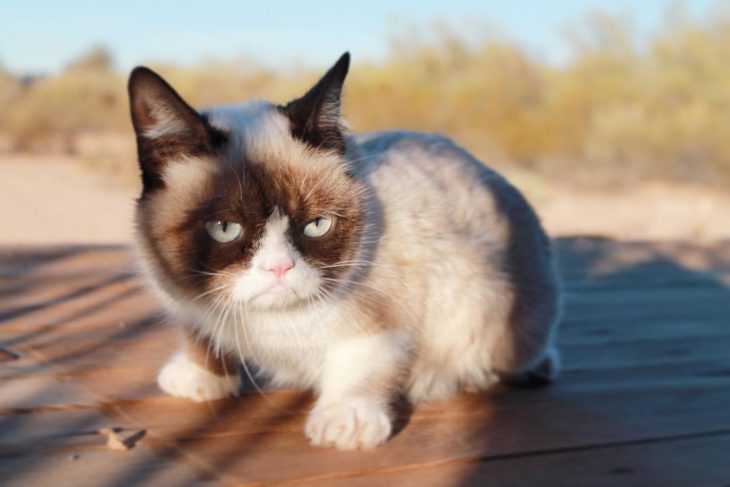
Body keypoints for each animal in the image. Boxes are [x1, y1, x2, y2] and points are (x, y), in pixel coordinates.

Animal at [128, 52, 560, 450]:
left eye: (317, 225)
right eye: (225, 229)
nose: (279, 268)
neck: (270, 330)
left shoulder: (382, 322)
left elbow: (360, 365)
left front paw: (345, 423)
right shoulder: (189, 302)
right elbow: (200, 335)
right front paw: (200, 377)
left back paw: (534, 367)